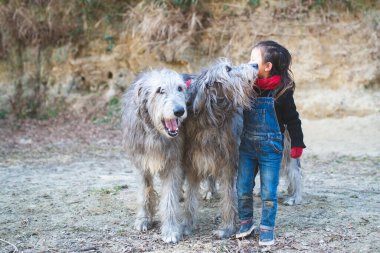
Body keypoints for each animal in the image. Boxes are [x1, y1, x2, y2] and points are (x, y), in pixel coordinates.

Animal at [121, 68, 187, 242]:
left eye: (180, 88)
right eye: (160, 90)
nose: (180, 111)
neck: (155, 134)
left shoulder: (173, 163)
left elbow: (169, 198)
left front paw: (170, 229)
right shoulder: (141, 164)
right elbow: (144, 192)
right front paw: (143, 219)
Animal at [182, 59, 258, 239]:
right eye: (228, 69)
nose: (256, 65)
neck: (213, 119)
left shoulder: (228, 163)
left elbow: (229, 197)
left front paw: (227, 228)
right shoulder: (194, 163)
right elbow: (190, 198)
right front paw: (187, 225)